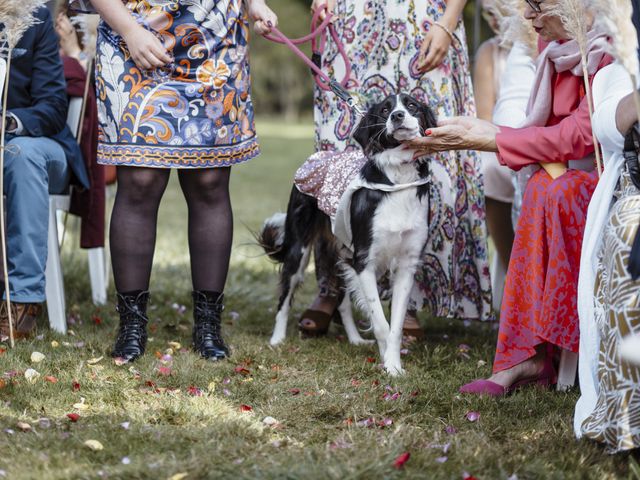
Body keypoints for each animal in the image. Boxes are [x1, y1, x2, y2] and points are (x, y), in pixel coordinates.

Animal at [260, 94, 436, 376]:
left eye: (412, 106)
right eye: (384, 109)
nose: (397, 115)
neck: (397, 179)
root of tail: (318, 155)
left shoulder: (406, 265)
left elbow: (395, 325)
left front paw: (394, 365)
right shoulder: (364, 260)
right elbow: (381, 322)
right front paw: (387, 363)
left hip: (341, 250)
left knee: (342, 301)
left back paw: (355, 339)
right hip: (299, 249)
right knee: (285, 296)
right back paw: (277, 339)